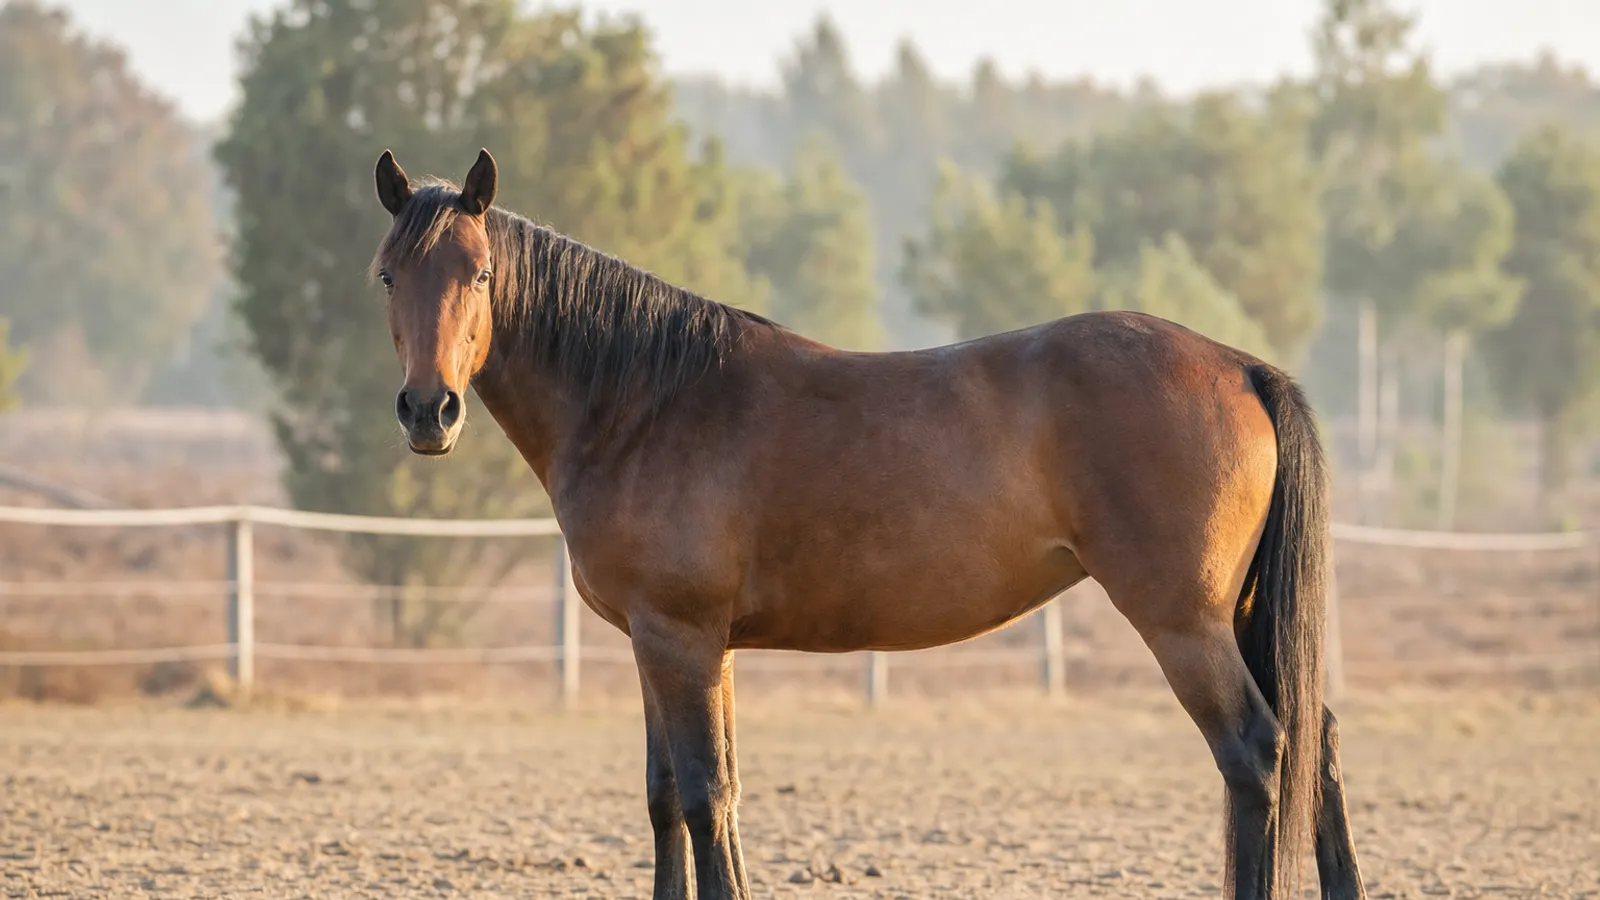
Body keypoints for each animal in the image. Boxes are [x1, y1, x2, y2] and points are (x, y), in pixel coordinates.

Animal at [367, 147, 1366, 900]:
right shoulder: (678, 647)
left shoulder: (679, 639)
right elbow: (678, 797)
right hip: (1243, 618)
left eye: (481, 273)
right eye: (387, 276)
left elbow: (703, 797)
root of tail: (1239, 366)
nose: (428, 411)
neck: (645, 400)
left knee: (1256, 755)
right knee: (1313, 745)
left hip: (1184, 623)